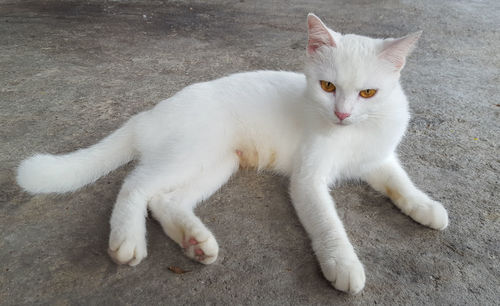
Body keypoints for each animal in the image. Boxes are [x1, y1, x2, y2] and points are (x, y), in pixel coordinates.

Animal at [17, 14, 450, 294]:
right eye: (327, 86)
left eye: (368, 93)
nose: (342, 113)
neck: (353, 134)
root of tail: (151, 113)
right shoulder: (307, 180)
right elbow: (329, 225)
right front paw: (343, 264)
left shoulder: (378, 159)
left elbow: (399, 184)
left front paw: (426, 207)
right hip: (193, 150)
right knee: (134, 185)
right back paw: (127, 240)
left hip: (218, 162)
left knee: (164, 199)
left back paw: (194, 241)